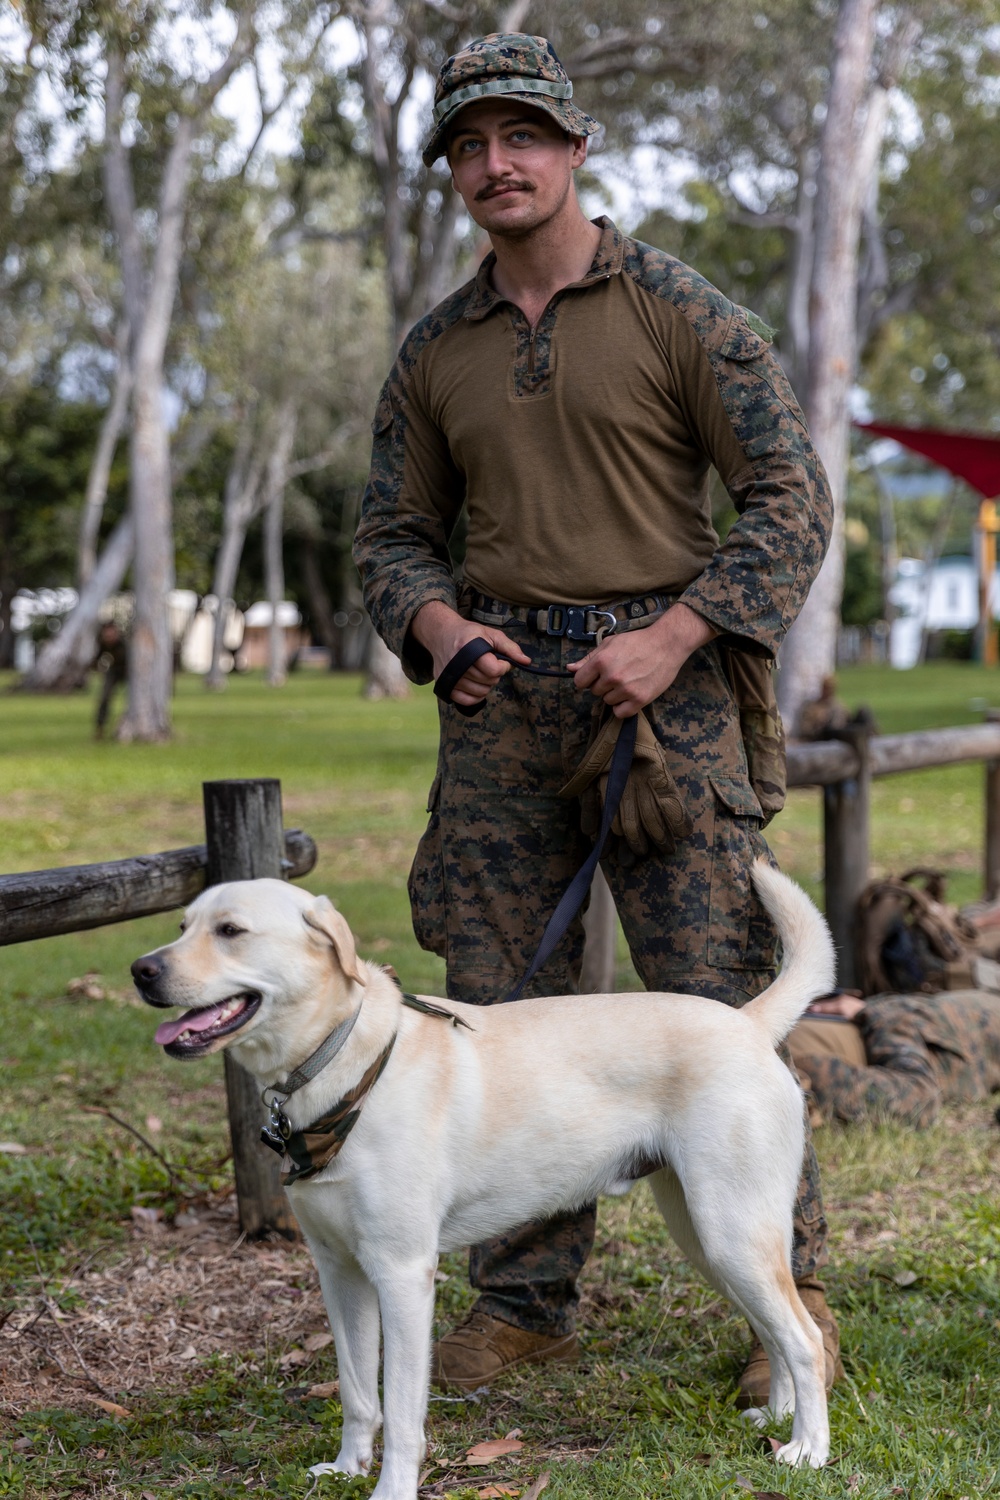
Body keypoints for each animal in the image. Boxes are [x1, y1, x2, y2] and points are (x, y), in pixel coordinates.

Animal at [132, 858, 839, 1500]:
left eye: (230, 930)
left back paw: (807, 1450)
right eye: (182, 925)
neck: (345, 1066)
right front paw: (348, 1468)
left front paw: (391, 1490)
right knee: (776, 1331)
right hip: (709, 1240)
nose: (142, 970)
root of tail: (748, 1022)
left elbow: (404, 1413)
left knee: (803, 1337)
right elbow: (359, 1392)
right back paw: (779, 1416)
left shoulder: (402, 1275)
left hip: (731, 1233)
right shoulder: (340, 1272)